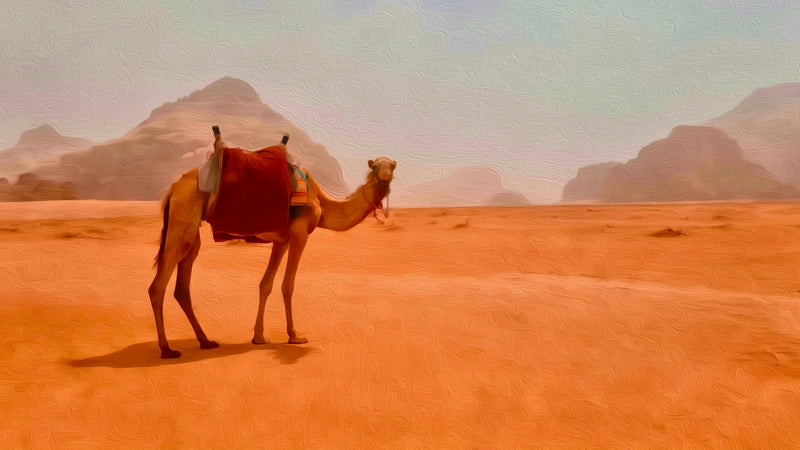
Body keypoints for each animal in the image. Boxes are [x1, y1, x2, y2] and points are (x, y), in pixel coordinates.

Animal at [147, 136, 396, 358]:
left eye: (391, 167)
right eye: (375, 166)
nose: (384, 177)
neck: (322, 202)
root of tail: (174, 189)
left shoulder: (282, 239)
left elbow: (265, 284)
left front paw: (259, 337)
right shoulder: (299, 233)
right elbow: (288, 285)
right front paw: (294, 336)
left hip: (190, 232)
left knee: (182, 286)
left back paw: (206, 341)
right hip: (182, 222)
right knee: (157, 287)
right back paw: (167, 349)